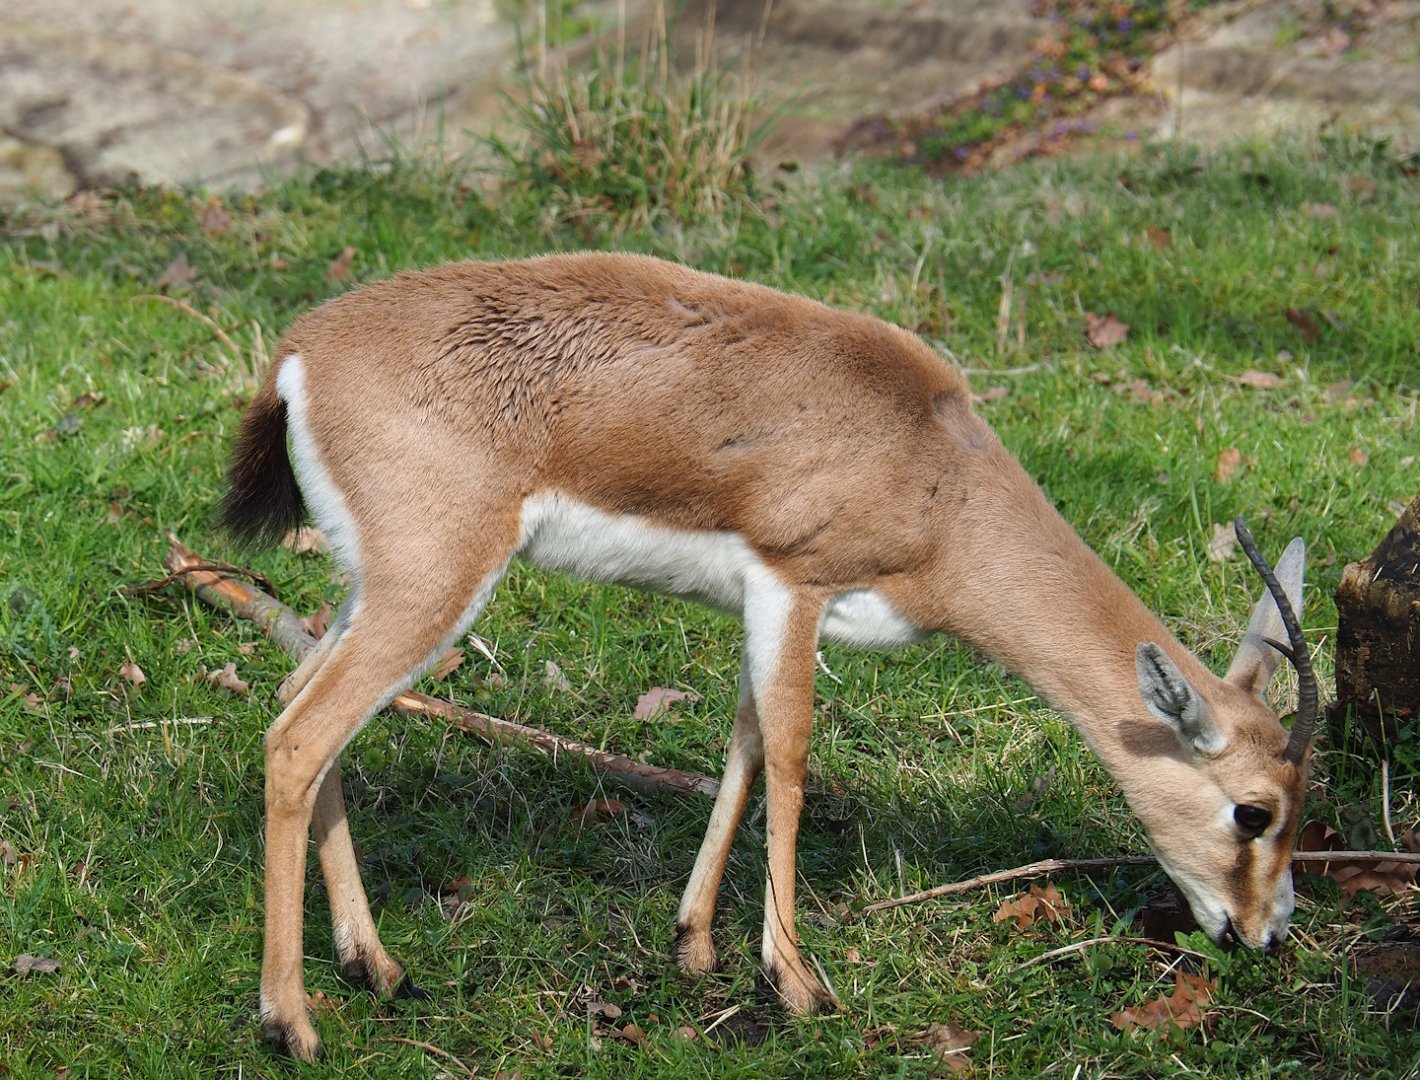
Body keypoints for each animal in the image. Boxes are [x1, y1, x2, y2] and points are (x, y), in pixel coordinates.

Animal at [220, 252, 1317, 1061]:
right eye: (1252, 810)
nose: (1264, 933)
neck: (940, 483)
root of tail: (298, 352)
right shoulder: (795, 583)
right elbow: (789, 758)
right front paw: (795, 983)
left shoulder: (766, 606)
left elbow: (743, 746)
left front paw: (695, 944)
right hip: (432, 589)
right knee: (297, 737)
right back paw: (292, 1024)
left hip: (376, 589)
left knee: (300, 701)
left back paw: (376, 967)